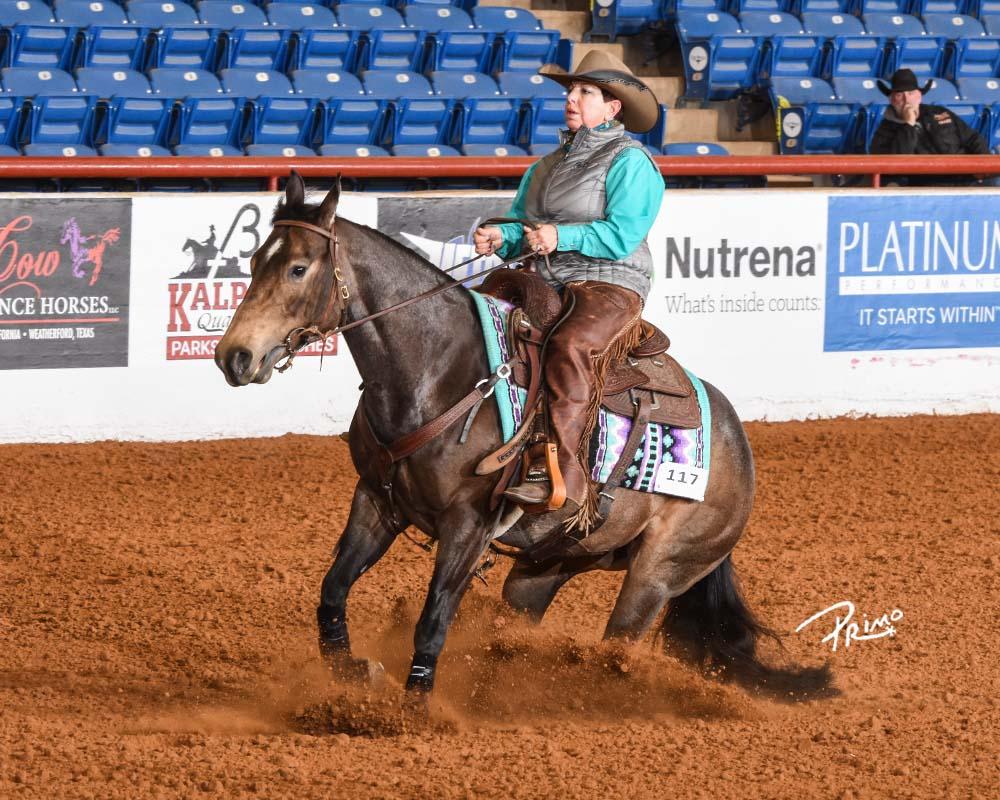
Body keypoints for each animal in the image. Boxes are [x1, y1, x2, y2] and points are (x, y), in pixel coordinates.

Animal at [215, 175, 832, 708]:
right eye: (255, 261)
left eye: (298, 268)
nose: (234, 356)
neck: (439, 369)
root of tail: (737, 442)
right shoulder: (376, 501)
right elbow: (332, 591)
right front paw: (352, 672)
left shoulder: (468, 526)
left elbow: (433, 621)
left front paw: (411, 711)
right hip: (548, 565)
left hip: (660, 572)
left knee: (617, 651)